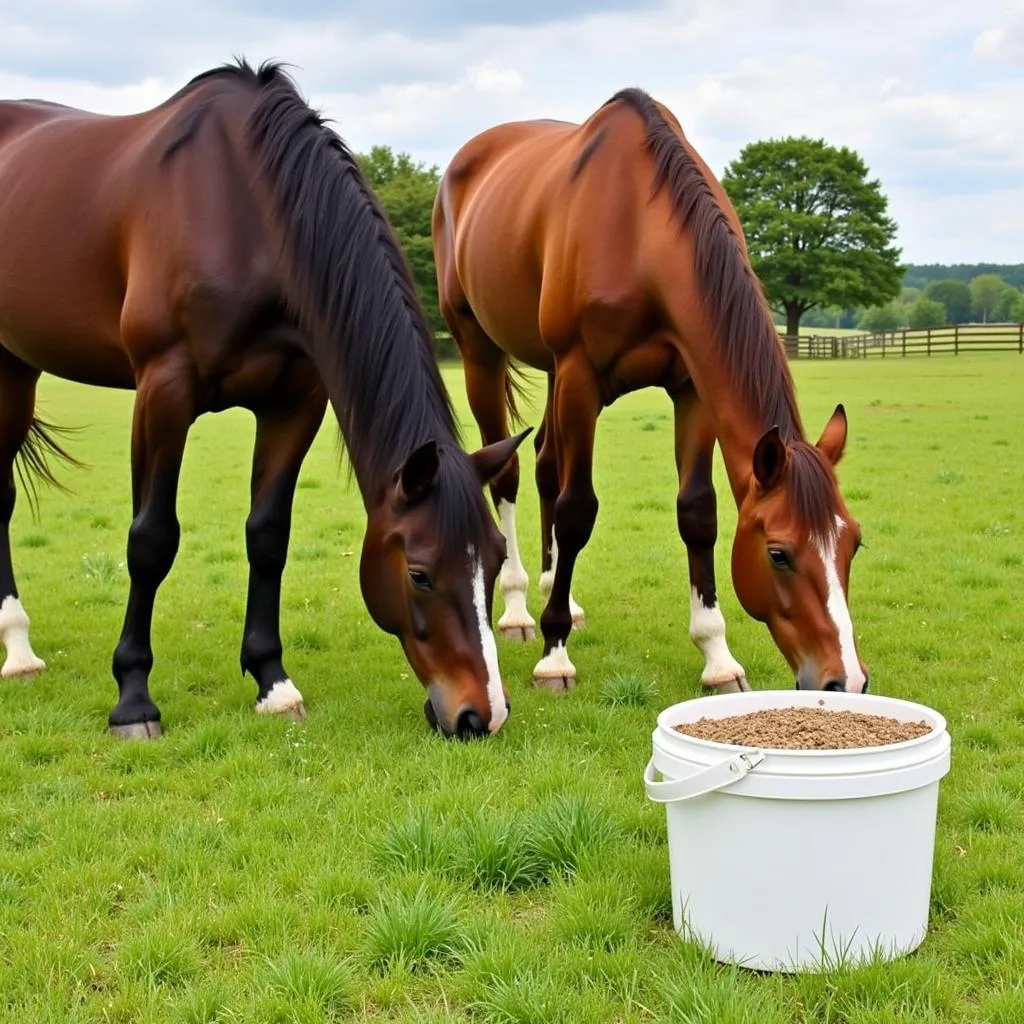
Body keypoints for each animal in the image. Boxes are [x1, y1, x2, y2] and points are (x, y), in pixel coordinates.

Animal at [0, 59, 528, 741]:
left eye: (495, 559)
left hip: (17, 366)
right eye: (419, 573)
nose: (481, 715)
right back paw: (17, 651)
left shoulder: (295, 401)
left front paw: (272, 682)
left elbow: (268, 535)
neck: (244, 208)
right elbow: (151, 540)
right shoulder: (163, 392)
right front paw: (133, 699)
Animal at [432, 88, 872, 696]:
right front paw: (554, 655)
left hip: (550, 370)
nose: (845, 679)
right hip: (482, 350)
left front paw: (717, 656)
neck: (640, 231)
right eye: (779, 554)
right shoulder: (580, 376)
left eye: (853, 543)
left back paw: (557, 590)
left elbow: (697, 512)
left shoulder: (692, 388)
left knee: (545, 464)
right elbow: (577, 509)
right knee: (509, 473)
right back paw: (520, 608)